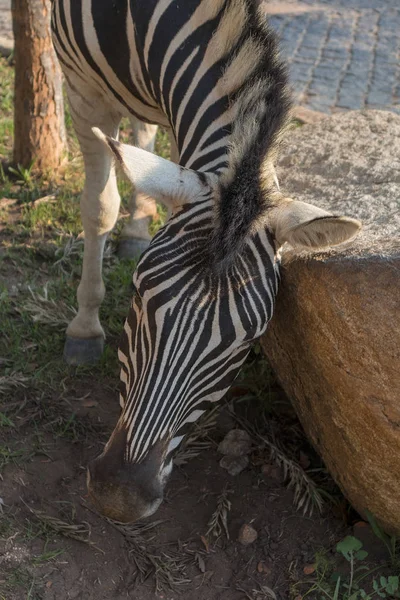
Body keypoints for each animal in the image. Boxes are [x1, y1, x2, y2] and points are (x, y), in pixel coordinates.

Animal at [50, 0, 360, 520]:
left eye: (248, 343)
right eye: (137, 297)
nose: (119, 496)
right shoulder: (83, 90)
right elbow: (98, 207)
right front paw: (85, 326)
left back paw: (137, 228)